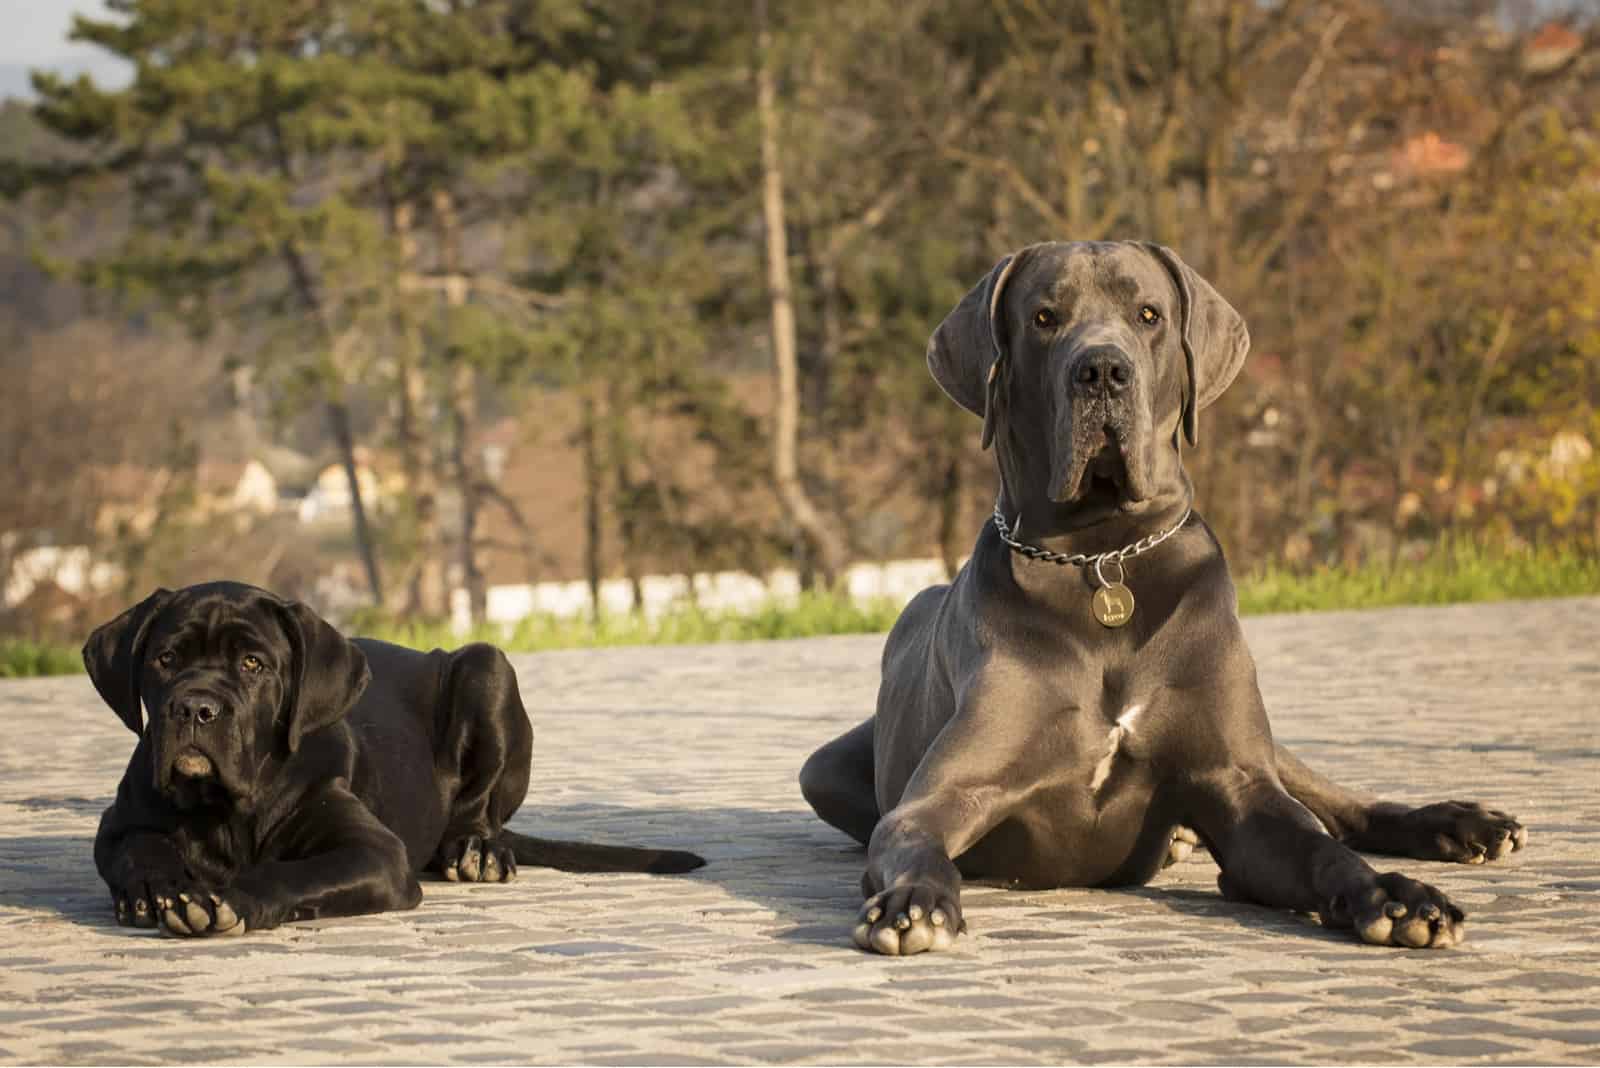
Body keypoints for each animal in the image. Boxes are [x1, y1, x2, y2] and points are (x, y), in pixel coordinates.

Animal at [86, 578, 700, 940]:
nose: (195, 707)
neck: (226, 808)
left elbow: (291, 872)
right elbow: (141, 851)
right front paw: (159, 891)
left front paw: (226, 897)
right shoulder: (120, 824)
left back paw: (477, 851)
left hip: (486, 668)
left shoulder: (375, 854)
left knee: (478, 813)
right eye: (166, 659)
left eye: (253, 664)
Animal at [800, 244, 1523, 959]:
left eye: (1148, 314)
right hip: (820, 769)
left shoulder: (1241, 785)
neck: (1101, 556)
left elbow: (1324, 850)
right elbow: (917, 841)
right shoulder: (941, 793)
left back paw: (1464, 824)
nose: (1102, 371)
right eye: (1043, 317)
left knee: (1339, 807)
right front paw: (913, 901)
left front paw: (1395, 896)